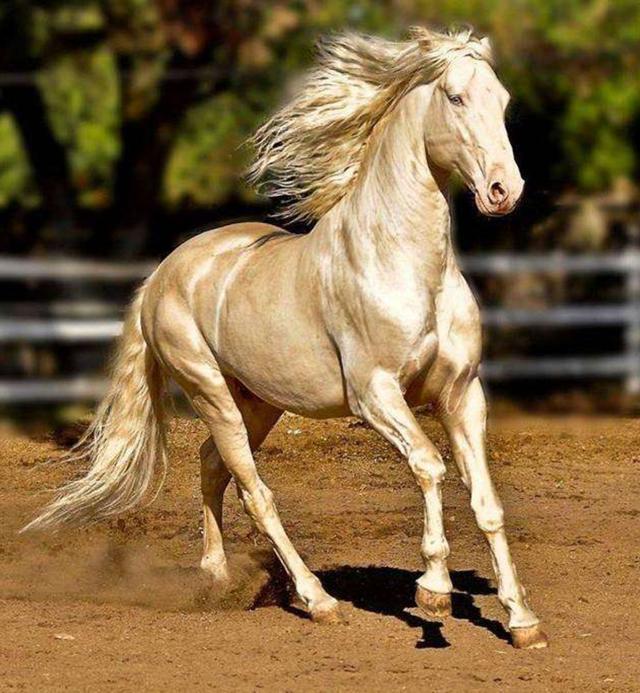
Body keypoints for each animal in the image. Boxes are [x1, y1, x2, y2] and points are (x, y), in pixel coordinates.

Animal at [24, 26, 548, 649]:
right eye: (455, 97)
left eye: (504, 100)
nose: (503, 190)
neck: (407, 266)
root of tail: (162, 274)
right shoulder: (375, 396)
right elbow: (429, 467)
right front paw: (434, 592)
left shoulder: (461, 394)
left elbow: (486, 502)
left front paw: (521, 620)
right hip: (211, 393)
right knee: (255, 492)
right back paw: (318, 601)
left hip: (258, 403)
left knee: (211, 466)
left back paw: (217, 578)